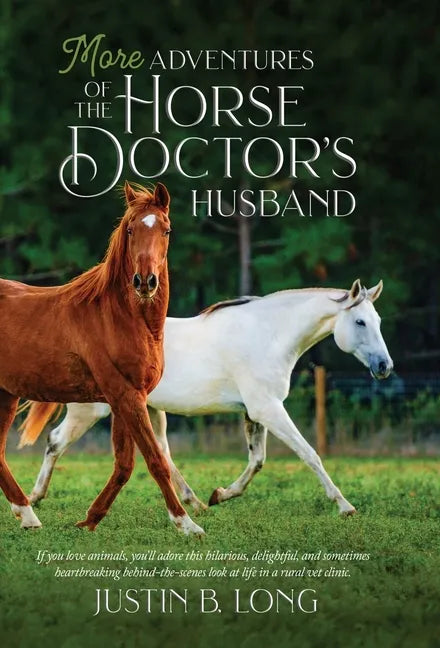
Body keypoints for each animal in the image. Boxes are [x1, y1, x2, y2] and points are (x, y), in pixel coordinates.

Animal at [0, 181, 204, 536]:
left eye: (166, 230)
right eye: (131, 229)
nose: (145, 282)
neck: (120, 318)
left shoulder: (127, 398)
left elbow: (125, 465)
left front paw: (89, 520)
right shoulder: (126, 397)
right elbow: (155, 461)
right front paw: (187, 524)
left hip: (6, 396)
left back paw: (28, 516)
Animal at [20, 279, 393, 516]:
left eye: (378, 320)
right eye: (360, 322)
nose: (385, 367)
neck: (267, 335)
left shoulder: (254, 413)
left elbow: (257, 461)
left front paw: (220, 495)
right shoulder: (268, 409)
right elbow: (310, 454)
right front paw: (344, 506)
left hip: (149, 410)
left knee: (161, 452)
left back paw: (195, 503)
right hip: (89, 411)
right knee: (55, 442)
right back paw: (34, 497)